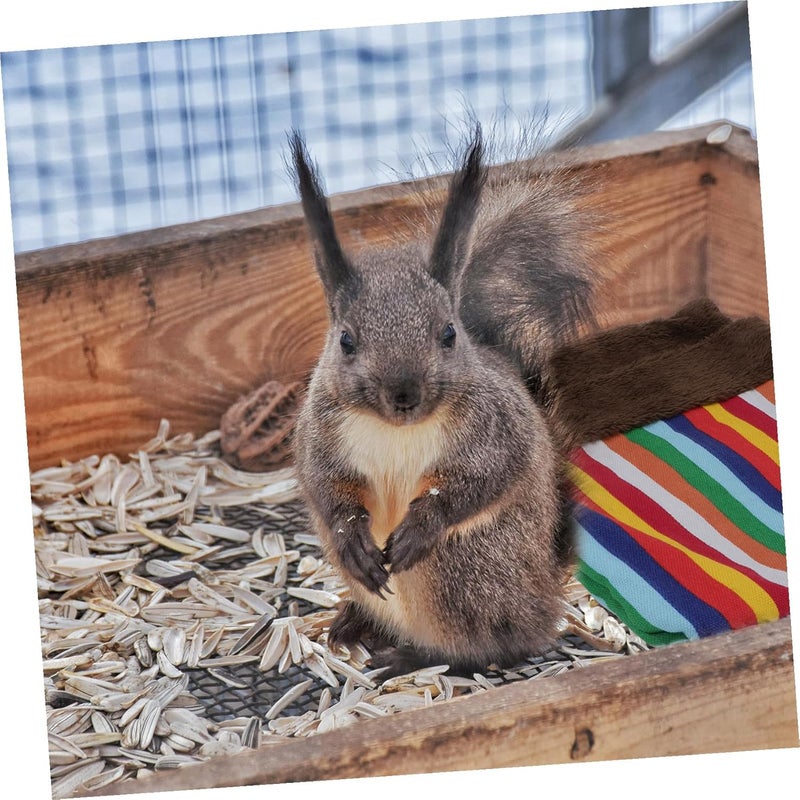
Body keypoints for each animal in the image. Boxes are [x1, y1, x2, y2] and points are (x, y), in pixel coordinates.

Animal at [288, 123, 596, 677]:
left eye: (449, 334)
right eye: (346, 340)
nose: (403, 393)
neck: (396, 431)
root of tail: (543, 594)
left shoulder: (498, 430)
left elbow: (482, 479)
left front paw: (422, 522)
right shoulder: (319, 435)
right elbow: (326, 486)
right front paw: (352, 535)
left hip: (461, 568)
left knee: (492, 645)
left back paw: (416, 656)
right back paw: (354, 621)